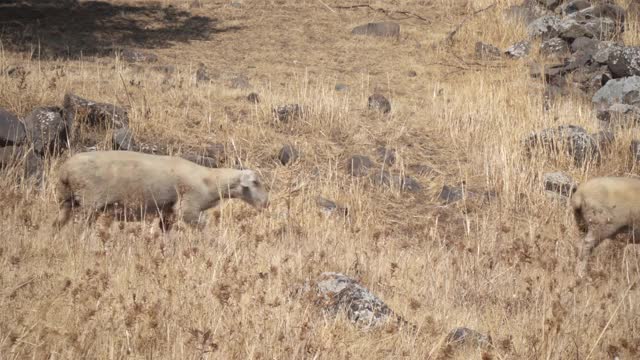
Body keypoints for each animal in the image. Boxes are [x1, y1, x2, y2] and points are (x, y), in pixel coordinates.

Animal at [52, 150, 268, 232]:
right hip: (89, 203)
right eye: (255, 182)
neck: (210, 181)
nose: (267, 203)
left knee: (58, 222)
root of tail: (66, 170)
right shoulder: (188, 208)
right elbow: (204, 228)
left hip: (66, 200)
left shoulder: (168, 211)